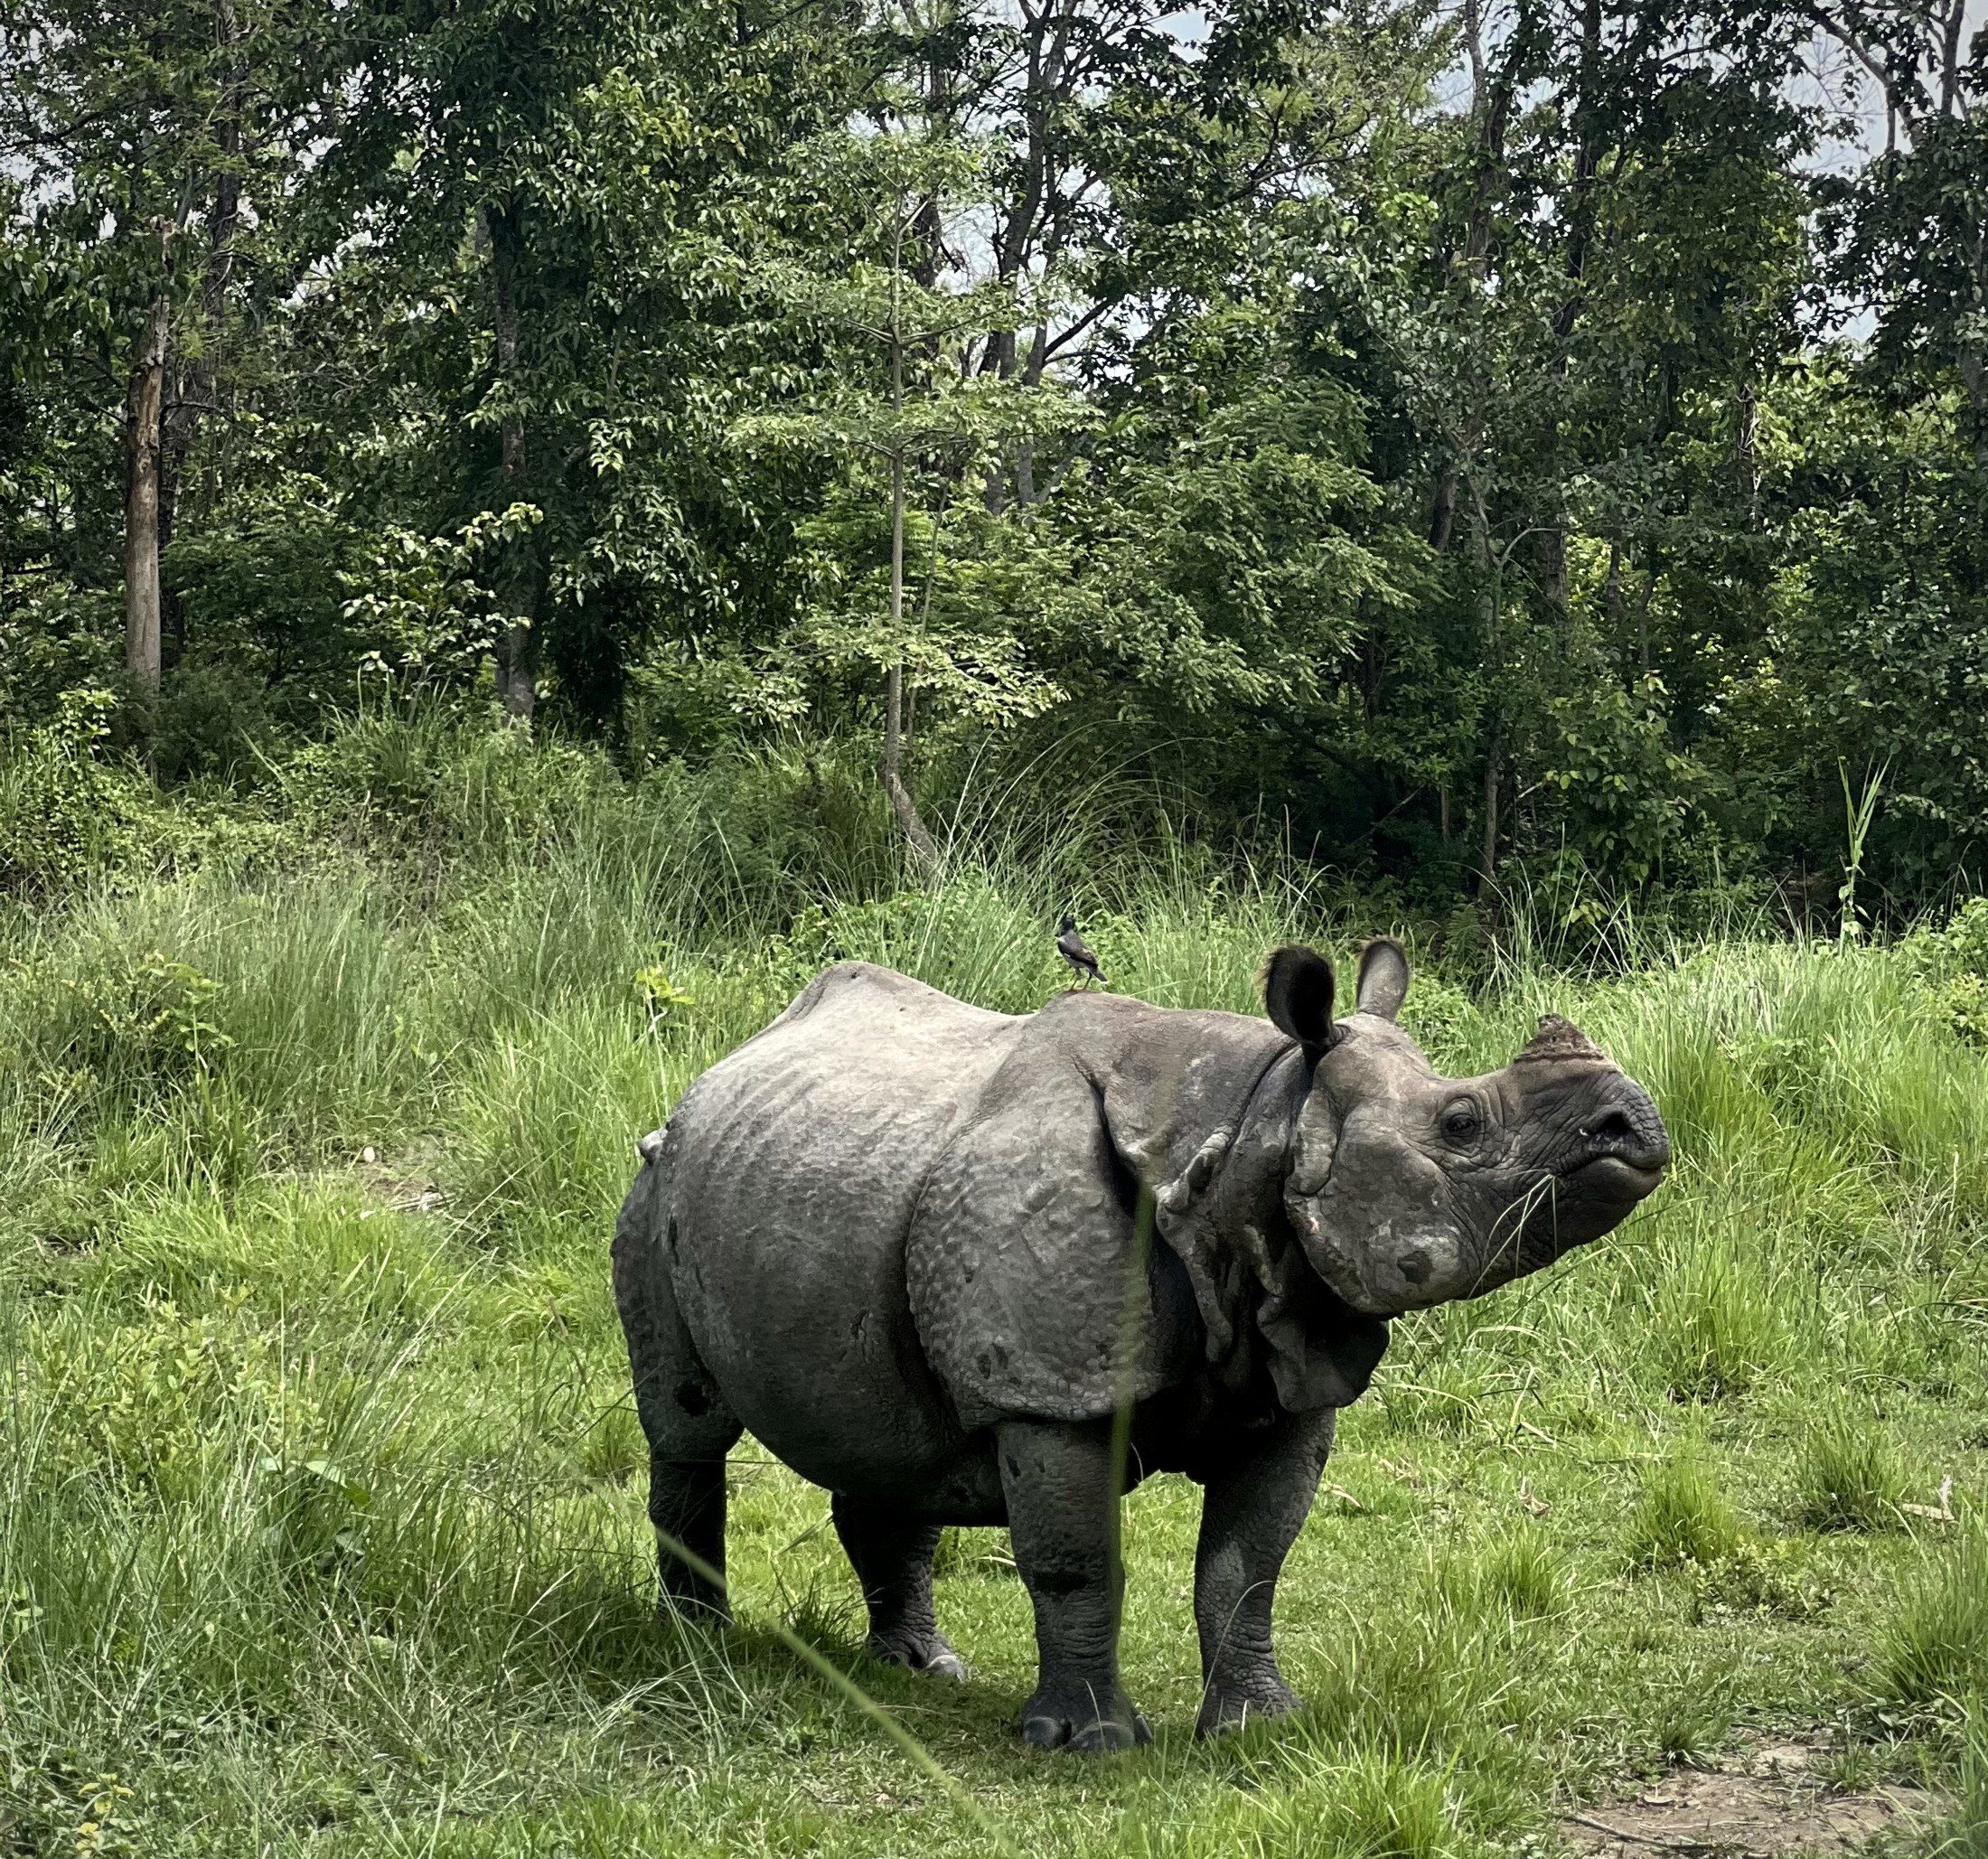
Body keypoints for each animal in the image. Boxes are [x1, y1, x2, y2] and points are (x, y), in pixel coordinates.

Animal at [612, 940, 1668, 1750]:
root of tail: (722, 1063)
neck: (1252, 1122)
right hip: (657, 1182)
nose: (1636, 1122)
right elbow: (1077, 1561)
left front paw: (1259, 1727)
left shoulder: (1289, 1369)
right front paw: (1088, 1741)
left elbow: (1247, 1567)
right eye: (1461, 1122)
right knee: (689, 1428)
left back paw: (921, 1667)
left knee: (889, 1437)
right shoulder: (1046, 1390)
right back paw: (702, 1644)